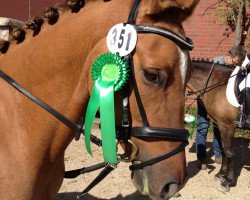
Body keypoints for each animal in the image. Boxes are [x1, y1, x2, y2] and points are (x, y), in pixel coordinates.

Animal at [188, 59, 241, 192]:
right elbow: (223, 149)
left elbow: (228, 151)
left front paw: (228, 181)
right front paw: (221, 174)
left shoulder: (228, 126)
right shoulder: (219, 124)